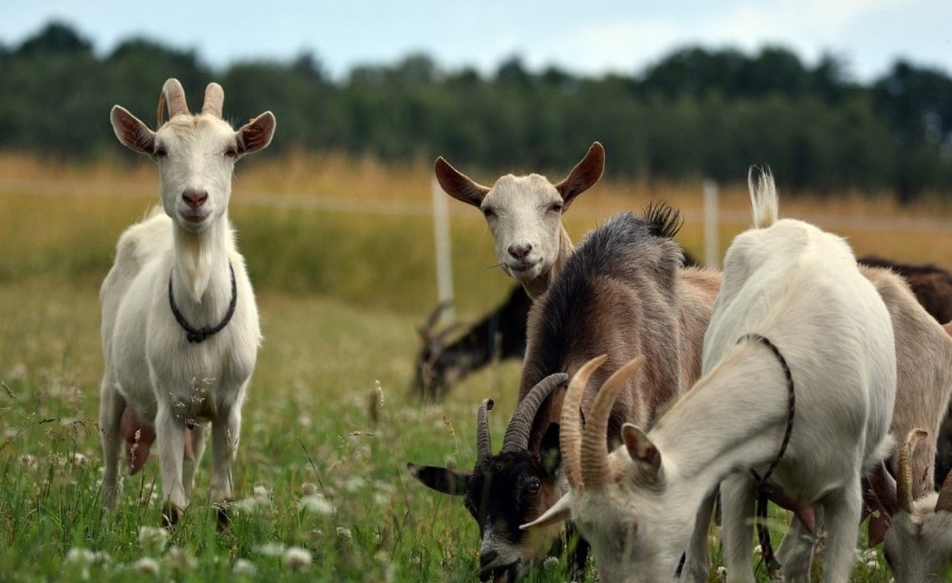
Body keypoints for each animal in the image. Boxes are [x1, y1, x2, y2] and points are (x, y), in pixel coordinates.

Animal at [100, 77, 276, 524]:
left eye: (230, 150)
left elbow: (221, 502)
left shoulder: (229, 408)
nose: (195, 198)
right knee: (110, 455)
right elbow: (172, 506)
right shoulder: (170, 406)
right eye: (161, 150)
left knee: (191, 464)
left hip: (199, 419)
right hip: (112, 381)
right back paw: (105, 514)